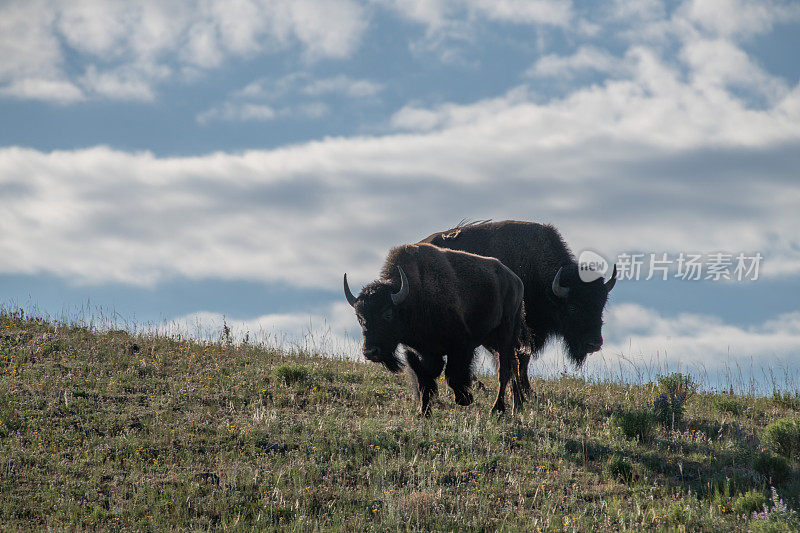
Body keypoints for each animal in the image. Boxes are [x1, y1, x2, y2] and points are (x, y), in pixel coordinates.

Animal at [340, 242, 528, 416]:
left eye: (387, 314)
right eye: (360, 318)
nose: (370, 352)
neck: (413, 297)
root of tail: (516, 281)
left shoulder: (461, 346)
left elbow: (452, 376)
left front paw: (465, 399)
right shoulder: (415, 353)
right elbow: (424, 382)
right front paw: (423, 412)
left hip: (506, 334)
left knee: (504, 370)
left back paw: (497, 408)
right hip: (491, 341)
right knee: (512, 366)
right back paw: (516, 406)